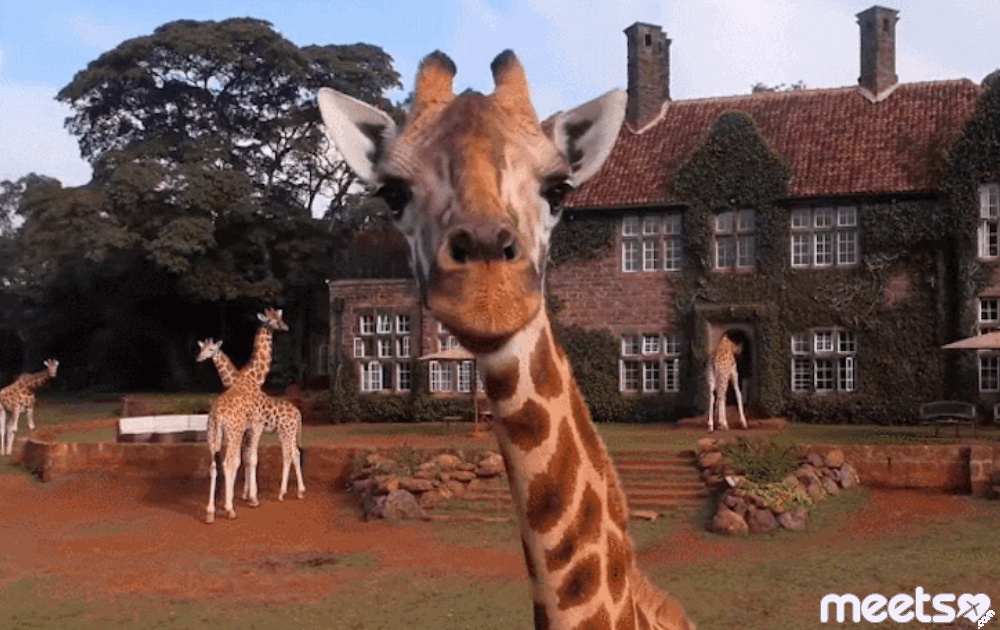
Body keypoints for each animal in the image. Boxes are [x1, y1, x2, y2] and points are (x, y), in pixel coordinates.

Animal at [196, 338, 305, 503]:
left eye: (211, 349)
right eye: (202, 349)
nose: (199, 358)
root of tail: (298, 413)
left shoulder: (249, 428)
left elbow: (247, 458)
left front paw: (247, 495)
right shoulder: (246, 430)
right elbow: (245, 458)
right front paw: (245, 493)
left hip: (285, 433)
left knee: (288, 455)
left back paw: (282, 493)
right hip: (286, 433)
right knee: (295, 453)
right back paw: (300, 491)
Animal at [204, 309, 290, 523]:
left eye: (279, 316)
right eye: (274, 320)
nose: (285, 326)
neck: (251, 377)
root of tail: (217, 415)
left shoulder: (247, 430)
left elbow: (245, 458)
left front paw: (241, 495)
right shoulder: (255, 426)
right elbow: (251, 458)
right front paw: (252, 498)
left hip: (213, 435)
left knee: (214, 465)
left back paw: (210, 512)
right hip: (232, 433)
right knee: (228, 462)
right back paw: (229, 509)